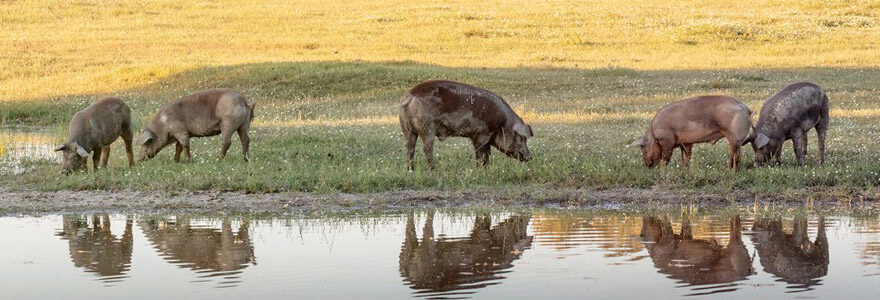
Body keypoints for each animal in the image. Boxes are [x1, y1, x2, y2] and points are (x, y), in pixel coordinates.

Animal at [400, 79, 536, 170]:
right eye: (521, 138)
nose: (530, 157)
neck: (502, 123)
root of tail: (409, 96)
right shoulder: (482, 134)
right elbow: (481, 153)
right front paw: (480, 169)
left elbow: (487, 154)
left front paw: (486, 169)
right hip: (427, 127)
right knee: (427, 148)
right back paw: (434, 170)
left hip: (408, 129)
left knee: (409, 148)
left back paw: (411, 169)